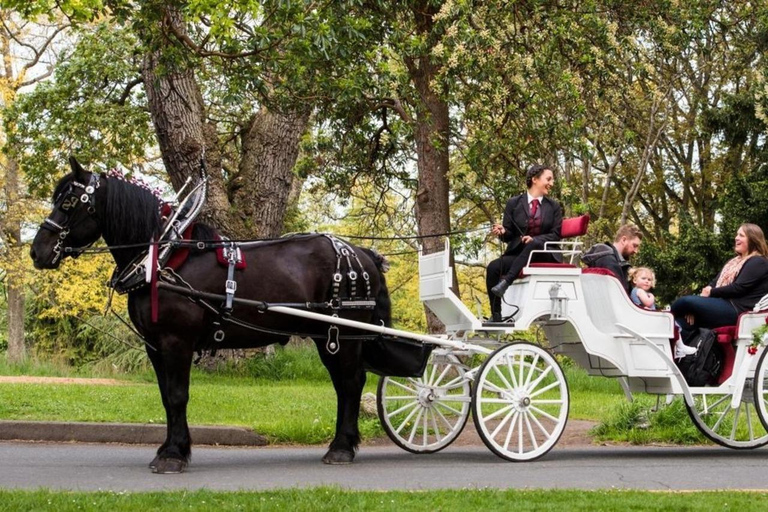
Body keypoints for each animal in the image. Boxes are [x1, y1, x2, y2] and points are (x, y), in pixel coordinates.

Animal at [29, 158, 390, 474]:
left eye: (69, 202)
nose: (37, 251)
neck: (164, 256)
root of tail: (362, 253)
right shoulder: (154, 345)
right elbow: (166, 397)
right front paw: (168, 448)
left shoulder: (176, 341)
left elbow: (178, 395)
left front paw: (173, 456)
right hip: (326, 336)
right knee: (343, 385)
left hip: (343, 333)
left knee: (351, 382)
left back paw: (341, 448)